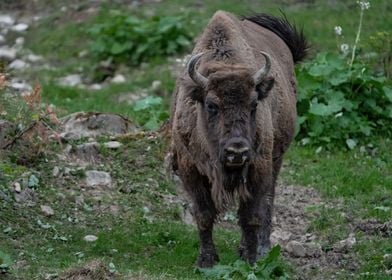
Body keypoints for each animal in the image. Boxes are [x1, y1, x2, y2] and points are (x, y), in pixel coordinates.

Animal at [168, 10, 306, 268]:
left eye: (254, 104)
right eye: (211, 105)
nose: (237, 151)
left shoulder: (258, 167)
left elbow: (251, 216)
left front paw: (250, 260)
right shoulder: (190, 170)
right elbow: (204, 215)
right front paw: (206, 261)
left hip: (276, 159)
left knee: (268, 203)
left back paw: (260, 249)